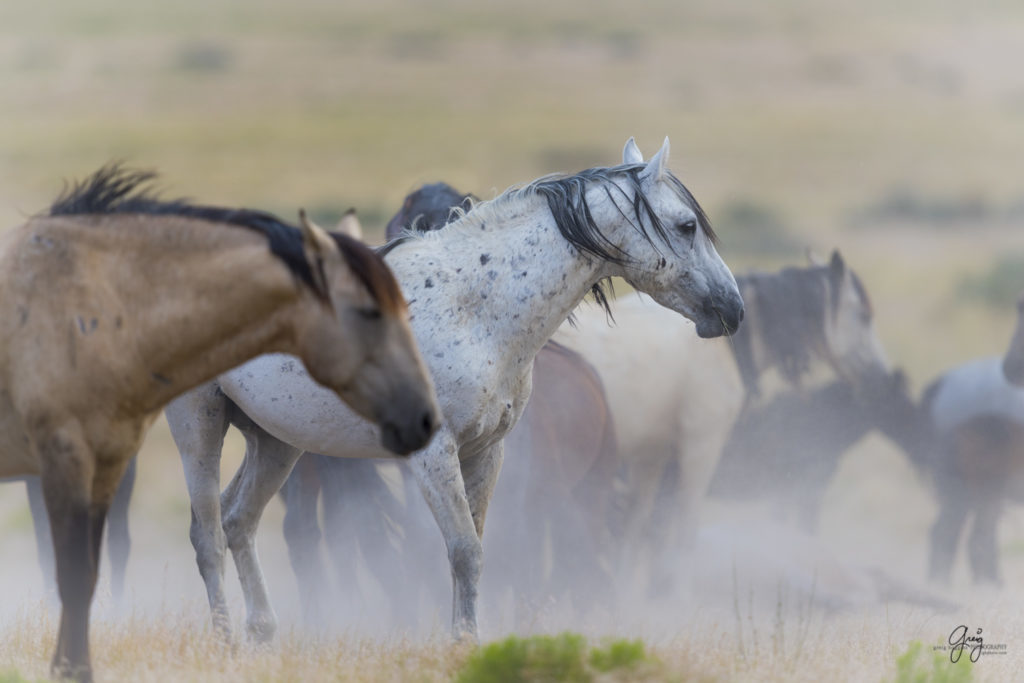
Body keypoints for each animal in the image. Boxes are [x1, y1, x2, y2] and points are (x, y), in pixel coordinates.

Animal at [167, 137, 745, 643]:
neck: (473, 310)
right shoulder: (433, 455)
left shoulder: (486, 452)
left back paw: (263, 634)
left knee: (238, 520)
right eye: (686, 225)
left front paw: (464, 639)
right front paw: (462, 643)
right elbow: (462, 551)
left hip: (275, 441)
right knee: (207, 534)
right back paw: (225, 640)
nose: (734, 309)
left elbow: (475, 552)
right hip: (200, 425)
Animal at [552, 252, 888, 598]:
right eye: (863, 316)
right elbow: (681, 530)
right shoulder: (701, 447)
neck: (723, 349)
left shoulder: (653, 455)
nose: (881, 377)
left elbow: (638, 530)